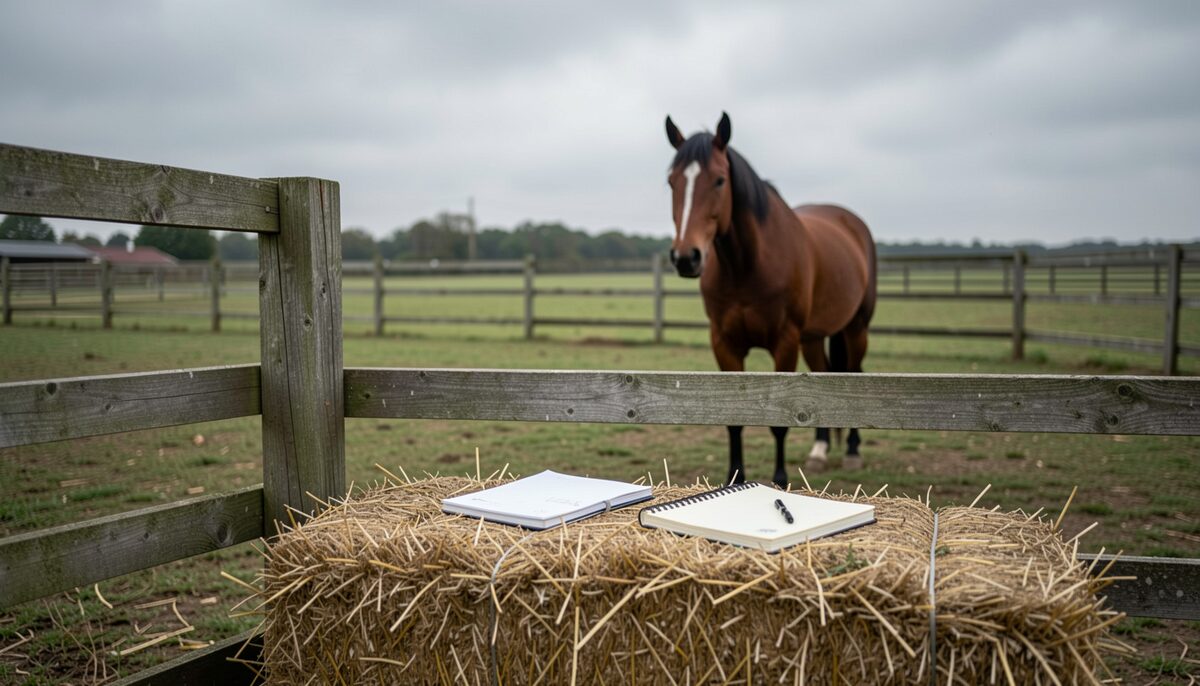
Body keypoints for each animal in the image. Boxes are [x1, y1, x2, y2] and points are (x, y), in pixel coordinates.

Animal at [664, 112, 877, 488]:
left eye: (719, 181)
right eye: (671, 182)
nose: (686, 257)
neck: (747, 266)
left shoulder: (785, 342)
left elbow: (781, 421)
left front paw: (779, 480)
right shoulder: (724, 343)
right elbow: (735, 420)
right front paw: (734, 478)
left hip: (856, 329)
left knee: (853, 374)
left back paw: (852, 451)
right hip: (813, 338)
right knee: (823, 377)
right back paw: (819, 451)